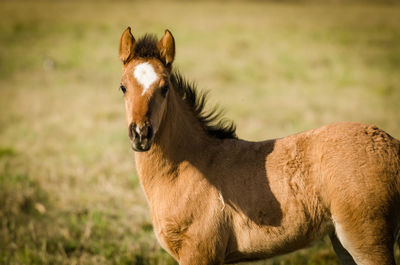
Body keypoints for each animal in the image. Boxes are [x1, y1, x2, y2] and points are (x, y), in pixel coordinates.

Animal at [117, 27, 400, 262]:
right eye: (122, 87)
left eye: (164, 87)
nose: (141, 134)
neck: (187, 167)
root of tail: (390, 143)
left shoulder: (199, 253)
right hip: (342, 243)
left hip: (366, 240)